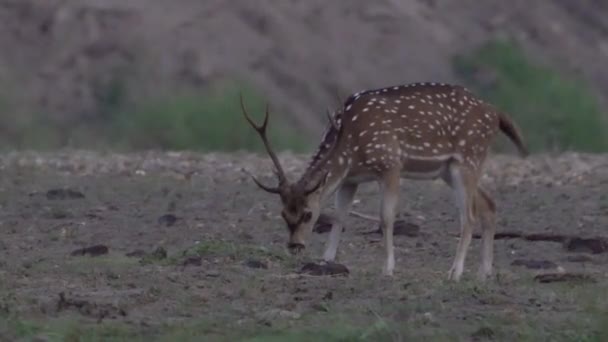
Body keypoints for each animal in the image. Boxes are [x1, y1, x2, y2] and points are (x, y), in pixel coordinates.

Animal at [242, 82, 528, 280]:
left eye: (308, 214)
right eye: (283, 214)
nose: (295, 245)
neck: (350, 146)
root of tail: (496, 113)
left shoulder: (390, 164)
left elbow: (386, 217)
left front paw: (388, 268)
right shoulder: (350, 179)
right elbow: (340, 217)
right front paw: (326, 261)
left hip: (467, 159)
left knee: (468, 216)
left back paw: (455, 272)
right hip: (449, 170)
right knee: (489, 204)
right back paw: (484, 272)